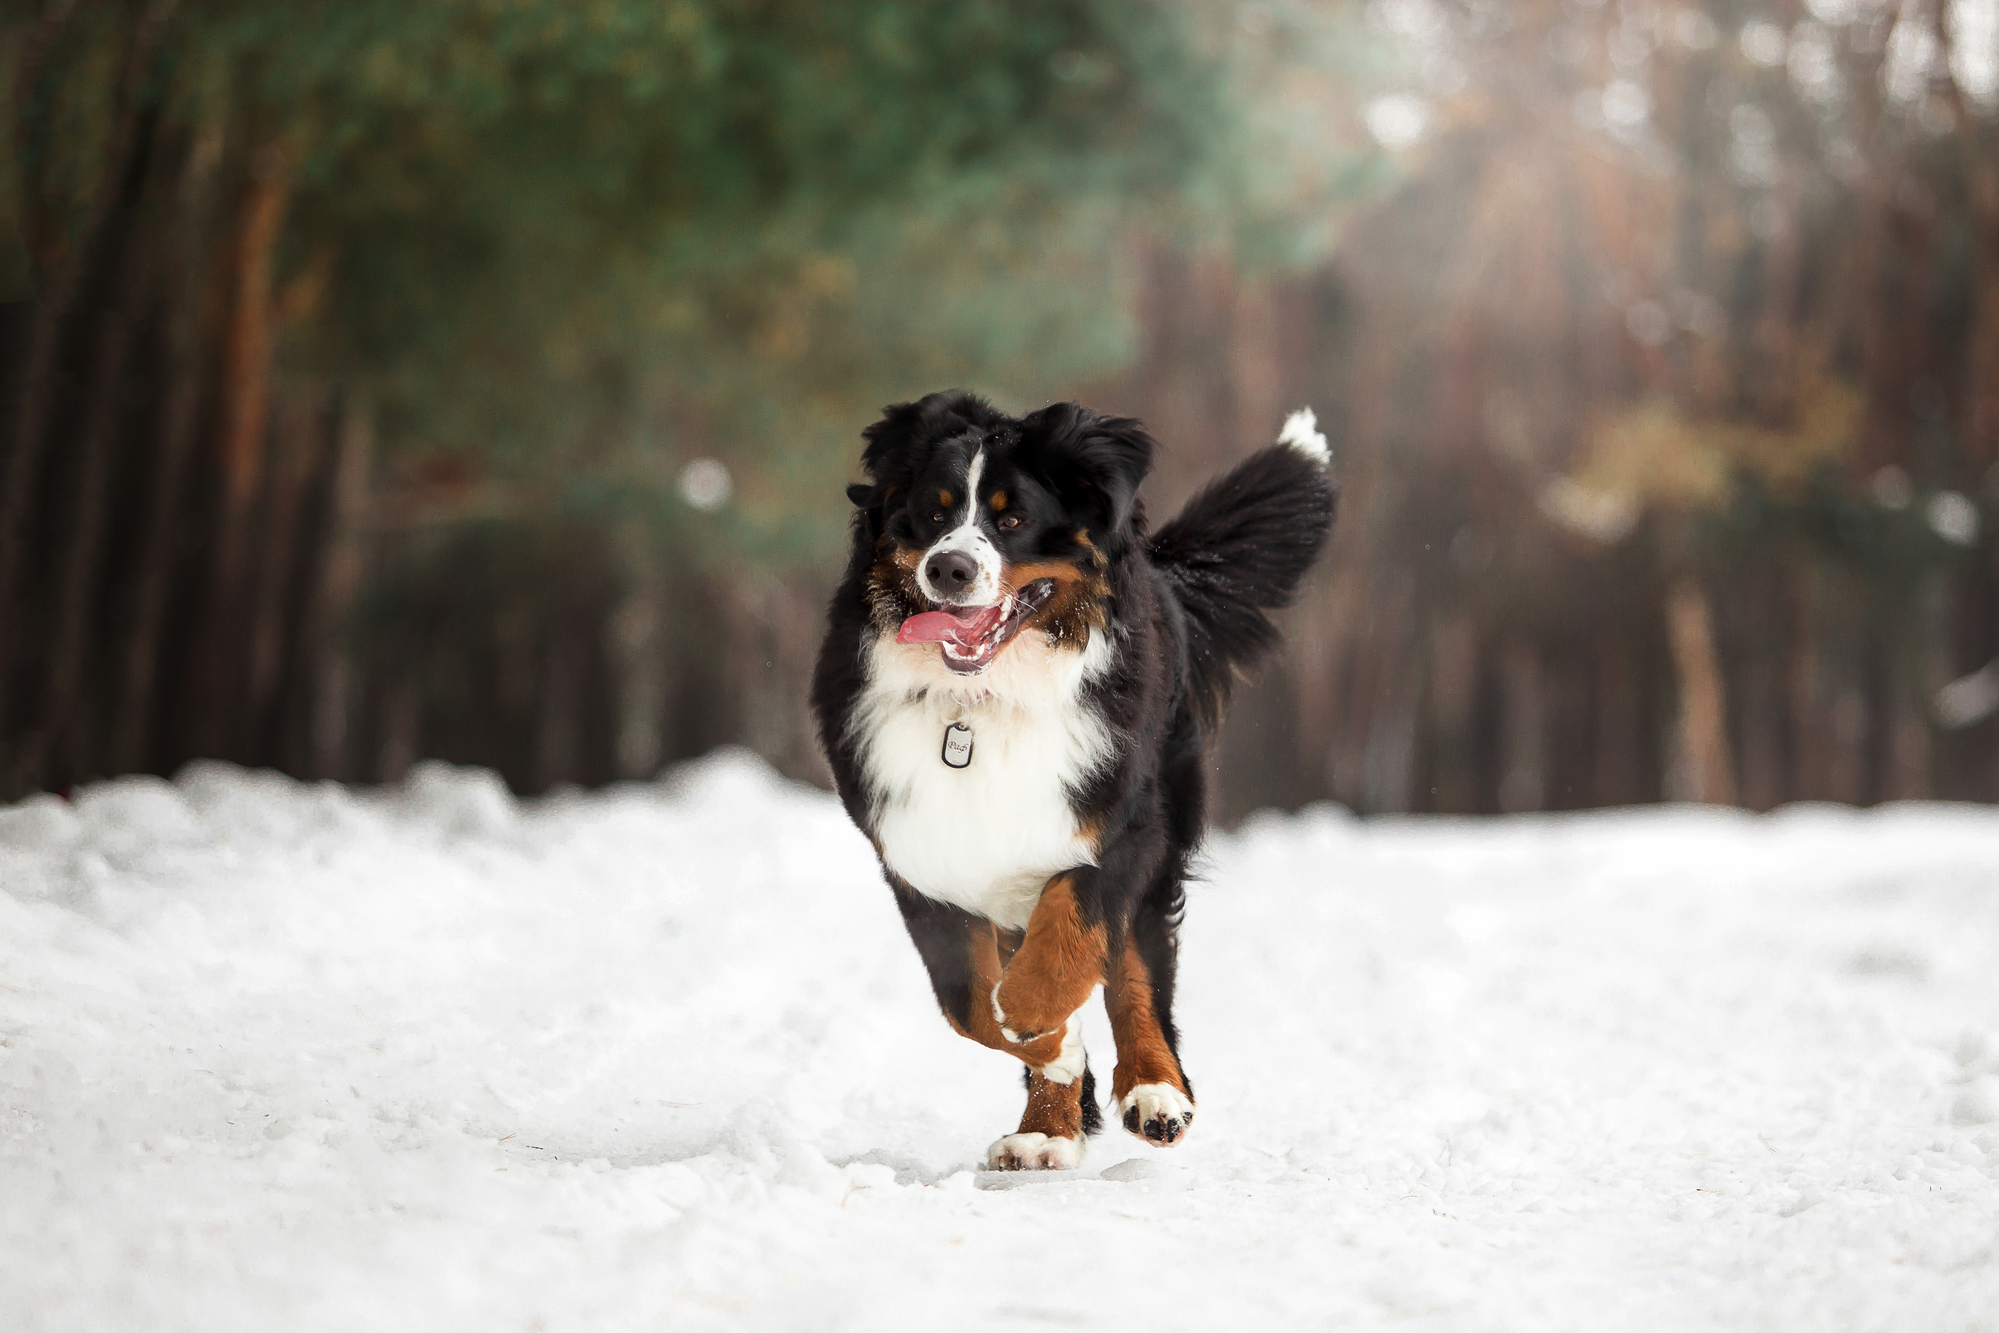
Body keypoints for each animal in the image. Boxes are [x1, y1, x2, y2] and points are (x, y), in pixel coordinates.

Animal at [803, 391, 1335, 1175]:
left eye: (1012, 519)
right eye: (930, 513)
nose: (949, 568)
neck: (982, 702)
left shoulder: (1118, 825)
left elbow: (1066, 950)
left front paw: (1041, 1024)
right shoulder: (921, 856)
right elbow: (968, 1003)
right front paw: (1056, 1059)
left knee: (1136, 973)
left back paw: (1155, 1094)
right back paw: (1044, 1131)